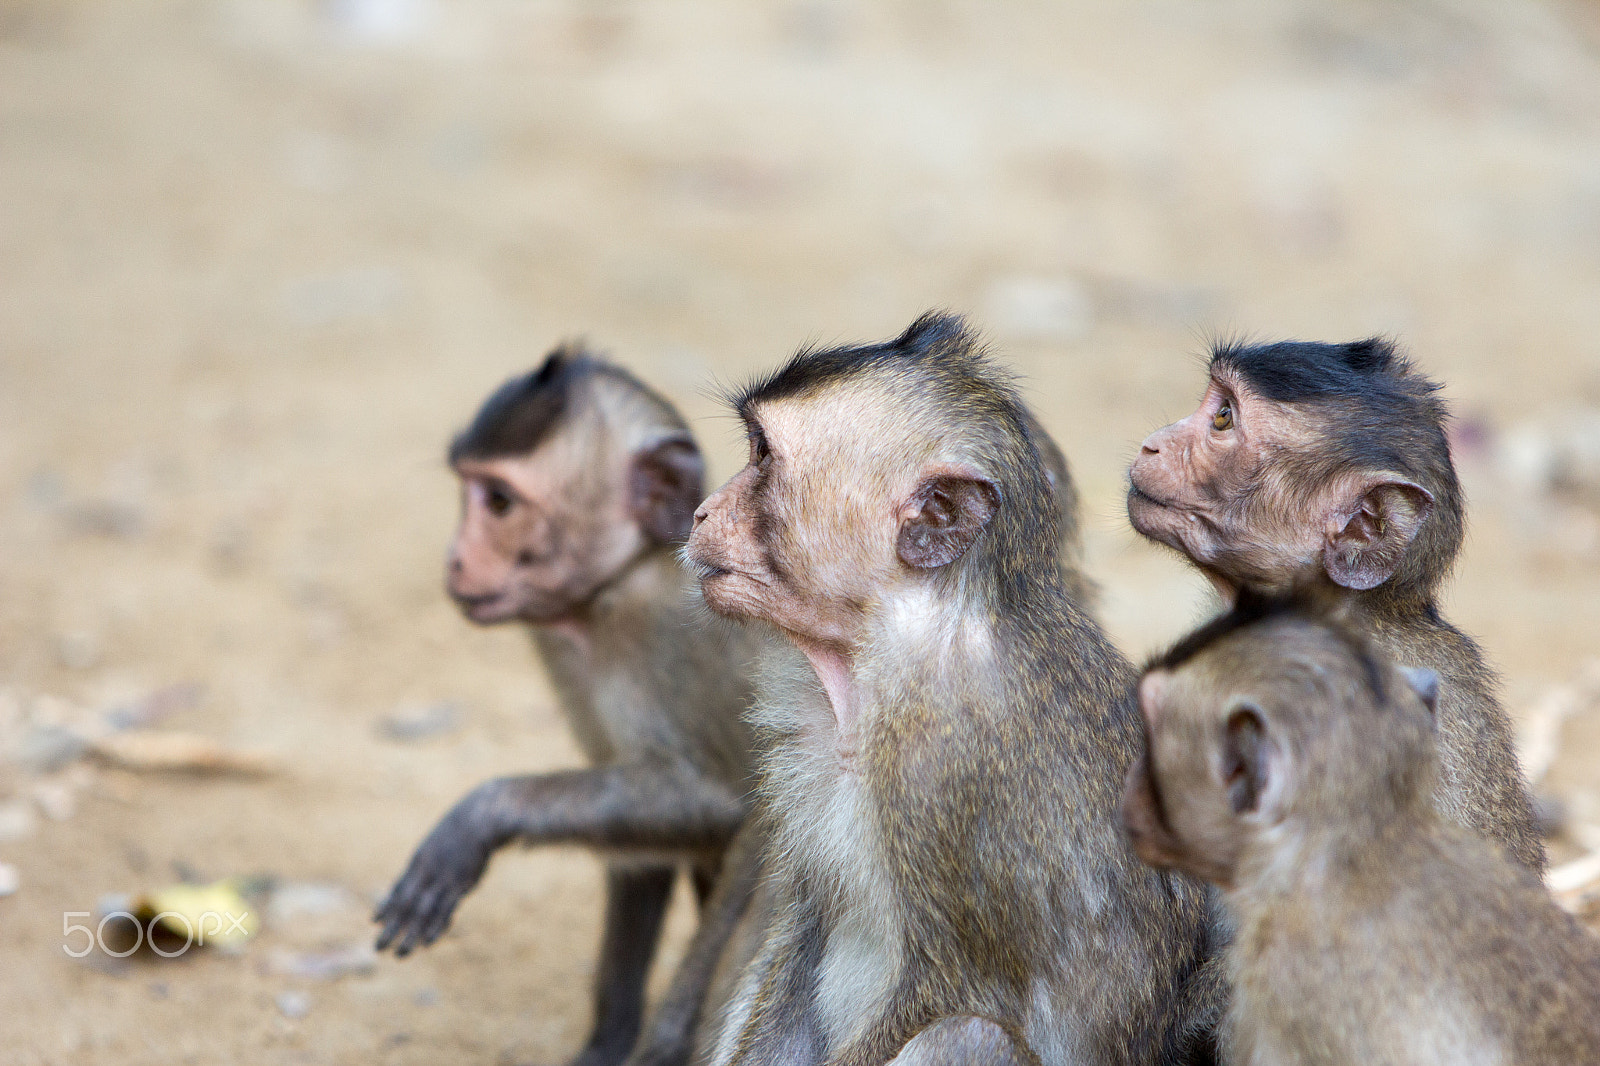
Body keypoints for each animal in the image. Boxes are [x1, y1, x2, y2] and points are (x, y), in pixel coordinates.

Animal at [373, 346, 771, 1066]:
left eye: (499, 502)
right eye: (468, 491)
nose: (454, 559)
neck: (631, 575)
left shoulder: (679, 638)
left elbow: (724, 802)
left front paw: (483, 814)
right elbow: (642, 839)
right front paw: (608, 1039)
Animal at [685, 312, 1215, 1066]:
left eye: (761, 456)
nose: (702, 513)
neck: (903, 639)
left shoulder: (947, 770)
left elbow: (954, 988)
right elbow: (803, 945)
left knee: (968, 1034)